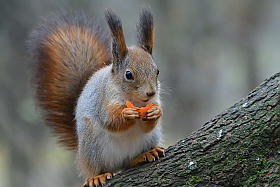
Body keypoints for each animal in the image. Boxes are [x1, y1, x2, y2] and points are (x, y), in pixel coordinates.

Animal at [27, 6, 164, 186]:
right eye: (128, 75)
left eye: (157, 71)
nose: (150, 92)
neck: (135, 100)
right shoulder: (102, 100)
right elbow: (110, 120)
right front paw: (126, 113)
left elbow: (149, 124)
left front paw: (156, 111)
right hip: (92, 144)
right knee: (97, 168)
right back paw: (96, 176)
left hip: (150, 138)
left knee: (130, 162)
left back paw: (145, 154)